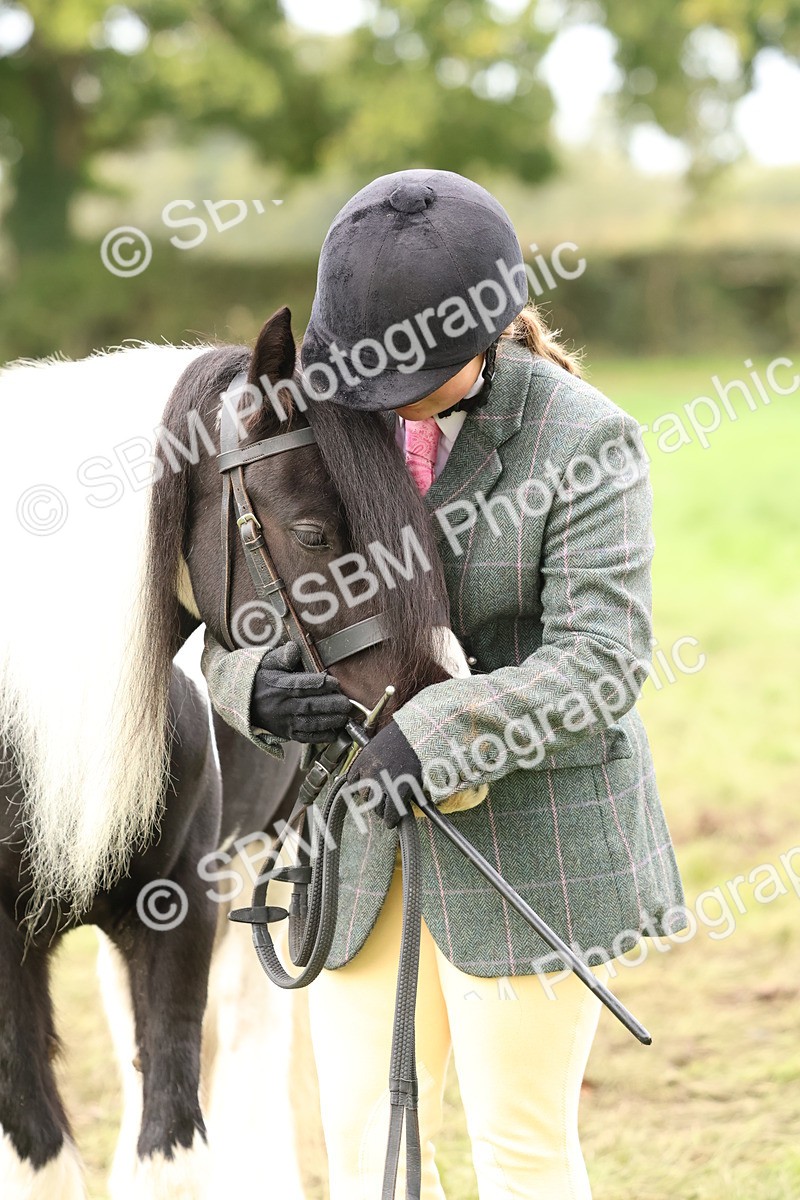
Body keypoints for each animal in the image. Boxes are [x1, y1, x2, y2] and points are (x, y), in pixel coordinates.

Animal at [0, 307, 466, 1197]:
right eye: (314, 532)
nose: (441, 692)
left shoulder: (178, 911)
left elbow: (172, 1146)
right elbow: (41, 1155)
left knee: (247, 1035)